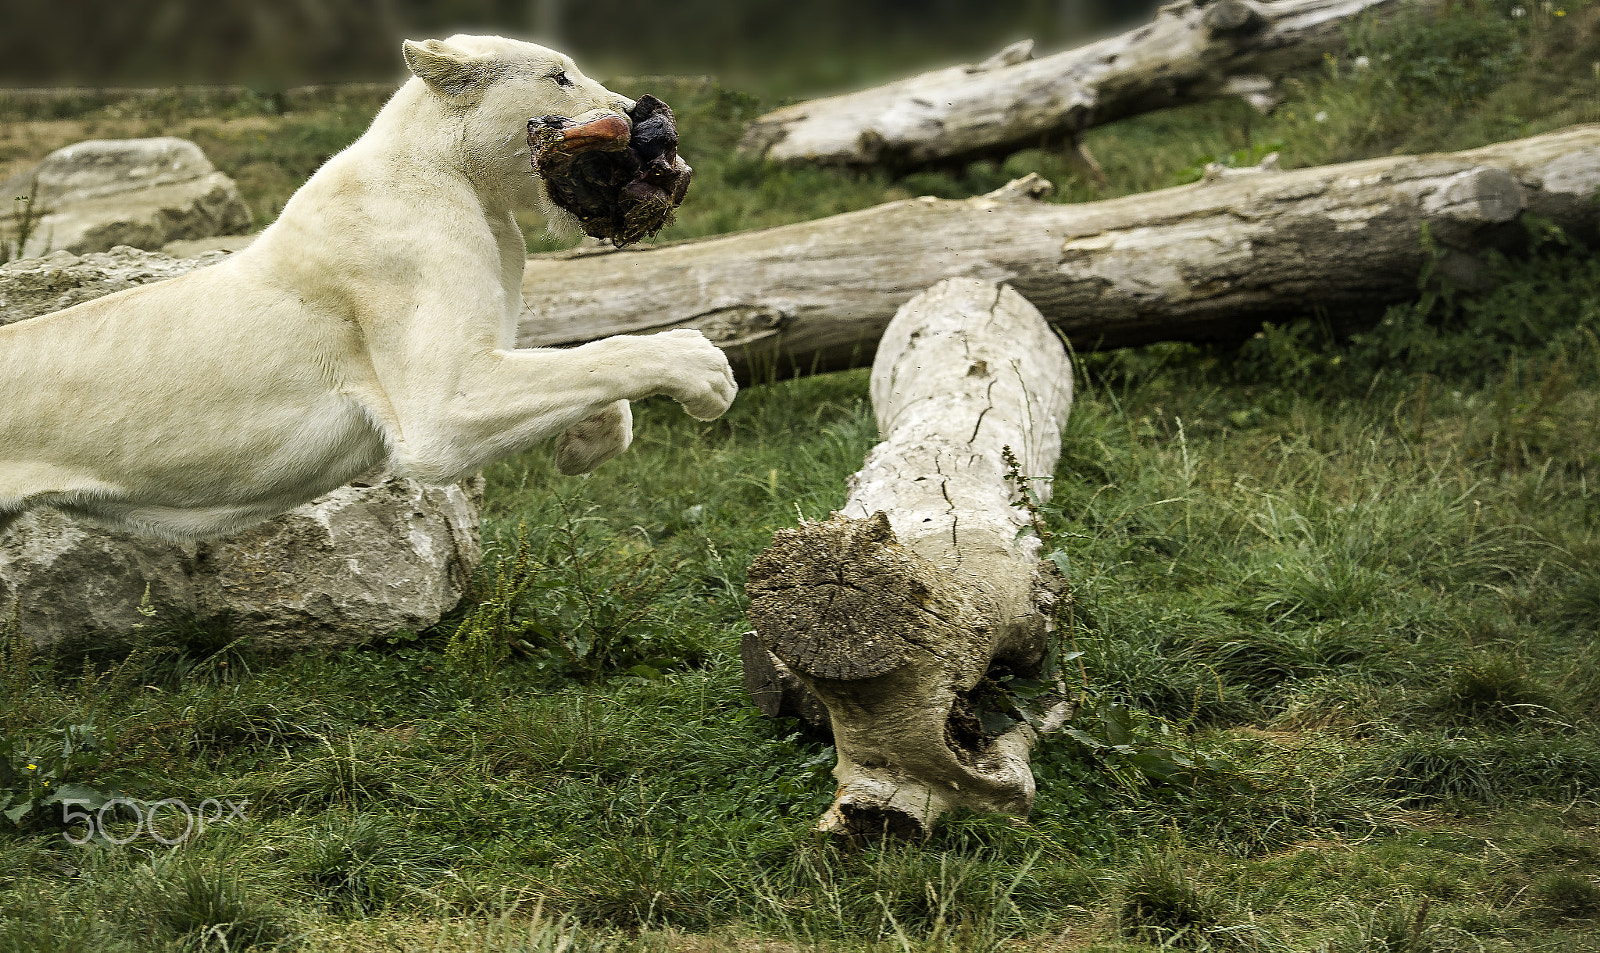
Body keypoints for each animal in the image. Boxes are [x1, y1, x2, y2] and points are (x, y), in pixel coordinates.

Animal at [0, 35, 736, 541]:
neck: (477, 195)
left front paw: (587, 443)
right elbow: (605, 352)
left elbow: (579, 367)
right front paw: (705, 371)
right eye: (559, 76)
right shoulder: (441, 409)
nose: (634, 112)